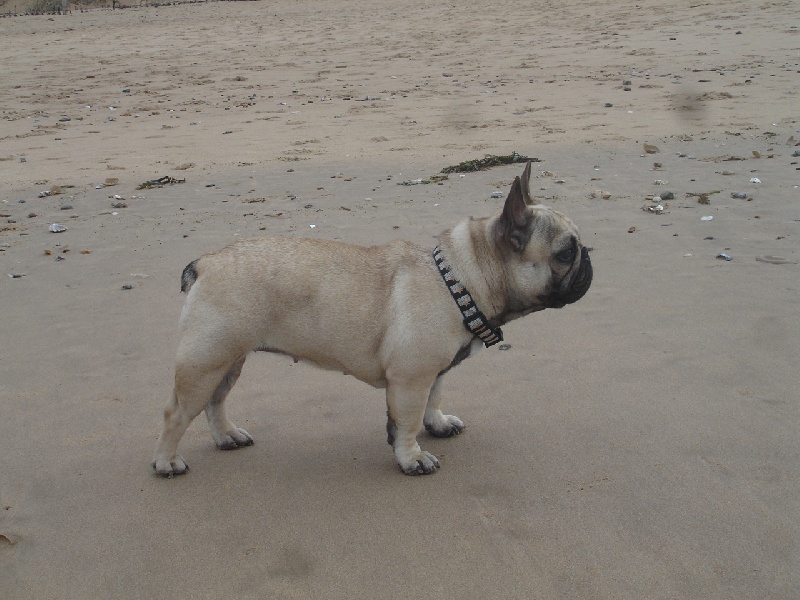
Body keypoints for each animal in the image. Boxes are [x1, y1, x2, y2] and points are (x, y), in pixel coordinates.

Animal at [152, 162, 592, 476]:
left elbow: (433, 400)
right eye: (565, 252)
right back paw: (166, 463)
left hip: (227, 360)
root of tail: (206, 263)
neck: (460, 282)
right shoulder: (410, 379)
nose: (589, 257)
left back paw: (227, 436)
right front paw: (412, 458)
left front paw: (438, 424)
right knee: (177, 413)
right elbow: (408, 421)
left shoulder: (433, 372)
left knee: (215, 402)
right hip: (205, 361)